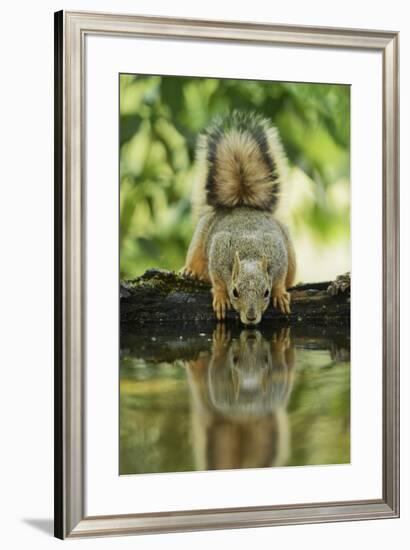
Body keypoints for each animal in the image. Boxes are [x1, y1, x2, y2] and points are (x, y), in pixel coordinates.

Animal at [182, 112, 294, 328]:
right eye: (234, 292)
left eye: (266, 293)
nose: (251, 317)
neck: (250, 251)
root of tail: (241, 204)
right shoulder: (218, 251)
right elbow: (217, 281)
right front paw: (220, 297)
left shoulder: (278, 252)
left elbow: (279, 278)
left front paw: (280, 294)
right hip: (201, 236)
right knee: (196, 256)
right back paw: (190, 271)